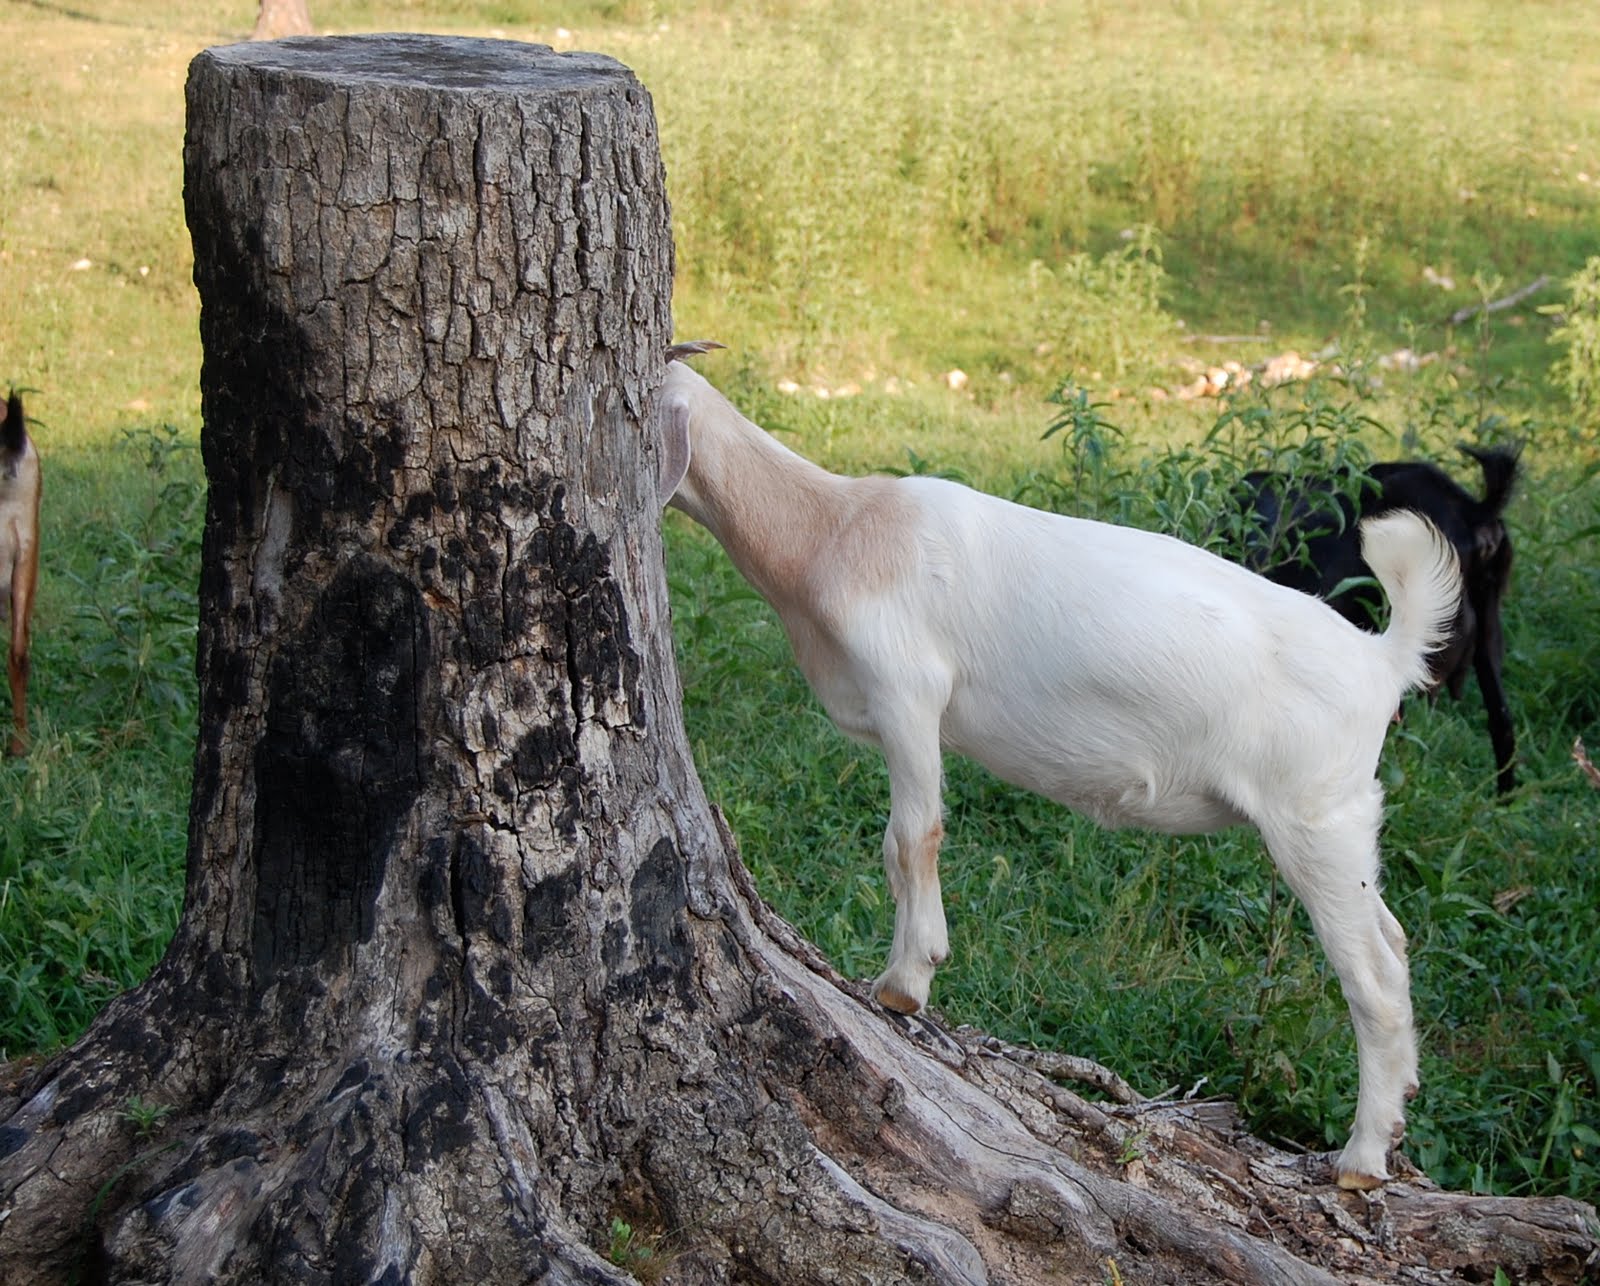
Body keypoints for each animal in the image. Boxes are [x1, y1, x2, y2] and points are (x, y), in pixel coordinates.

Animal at [655, 342, 1460, 1190]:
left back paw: (1362, 1157)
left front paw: (906, 983)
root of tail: (1383, 659)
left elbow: (910, 840)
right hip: (1345, 824)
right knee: (1395, 942)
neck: (835, 529)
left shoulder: (908, 693)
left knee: (1371, 977)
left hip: (1312, 820)